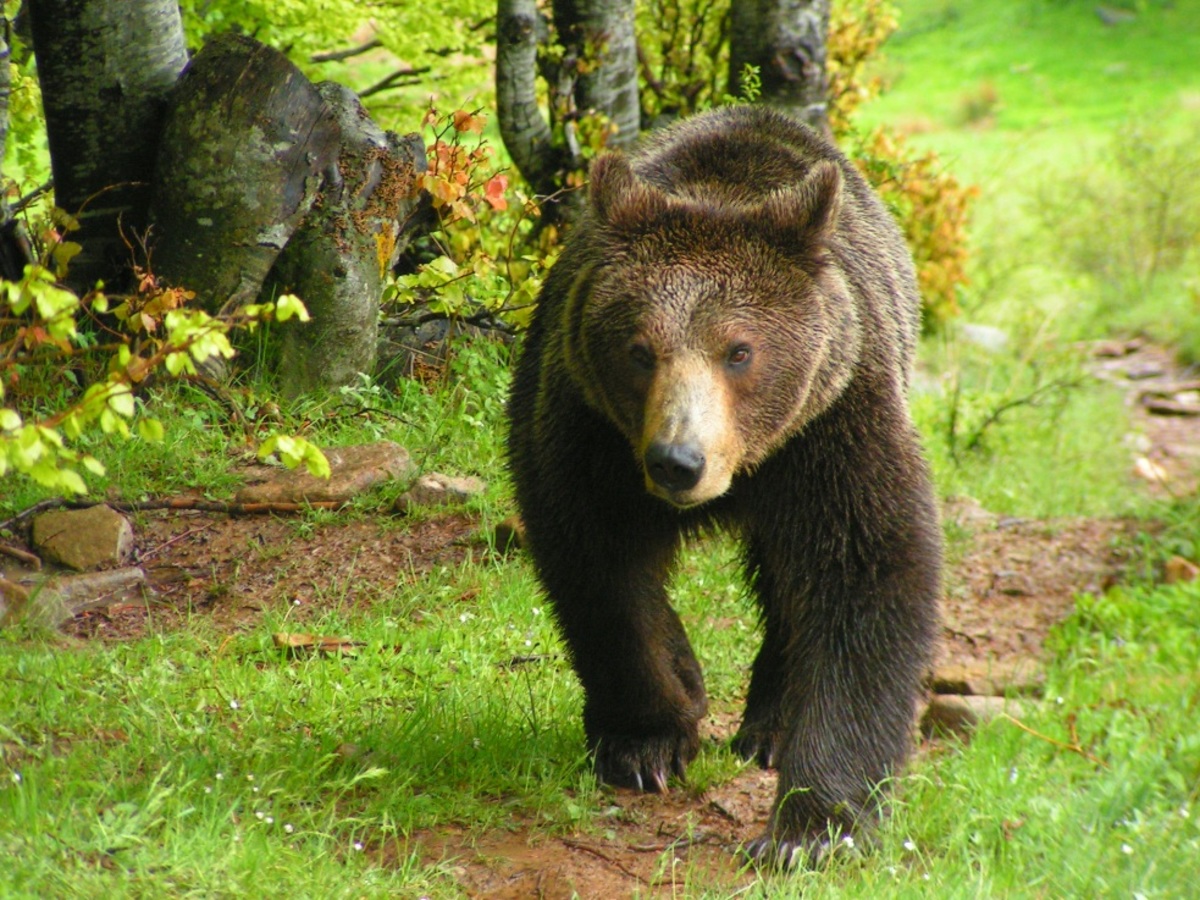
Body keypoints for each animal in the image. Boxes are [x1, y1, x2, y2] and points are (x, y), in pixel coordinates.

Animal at [501, 103, 940, 868]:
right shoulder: (589, 435)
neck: (744, 469)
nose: (678, 461)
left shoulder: (829, 429)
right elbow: (601, 571)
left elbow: (865, 575)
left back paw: (771, 723)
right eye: (639, 349)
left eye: (740, 350)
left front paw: (811, 827)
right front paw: (648, 740)